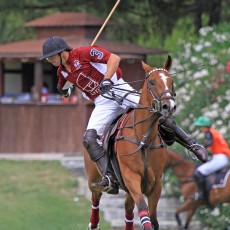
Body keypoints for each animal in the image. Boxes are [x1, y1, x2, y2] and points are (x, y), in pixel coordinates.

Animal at [84, 56, 176, 230]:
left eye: (171, 81)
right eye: (152, 82)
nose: (169, 106)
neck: (143, 139)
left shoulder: (156, 184)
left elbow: (153, 219)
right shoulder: (131, 178)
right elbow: (144, 212)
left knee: (127, 210)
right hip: (94, 178)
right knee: (95, 196)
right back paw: (93, 223)